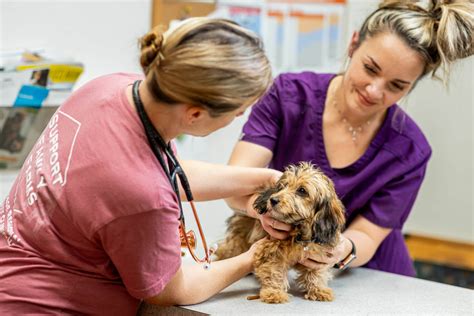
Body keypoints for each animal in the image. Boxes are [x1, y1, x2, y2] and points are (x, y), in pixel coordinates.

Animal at [214, 163, 344, 304]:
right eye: (283, 186)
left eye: (302, 190)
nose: (273, 200)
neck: (298, 231)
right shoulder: (271, 250)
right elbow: (273, 271)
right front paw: (274, 292)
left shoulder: (317, 255)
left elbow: (315, 273)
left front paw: (318, 289)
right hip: (239, 235)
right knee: (228, 248)